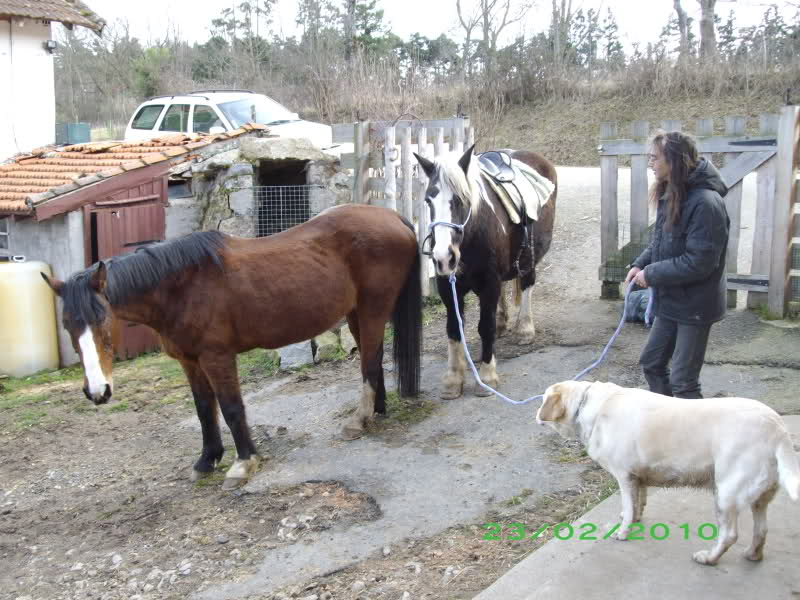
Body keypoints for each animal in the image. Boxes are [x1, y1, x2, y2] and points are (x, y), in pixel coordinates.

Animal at [43, 204, 422, 490]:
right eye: (67, 325)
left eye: (102, 318)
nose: (98, 391)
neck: (180, 287)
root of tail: (394, 217)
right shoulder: (189, 361)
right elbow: (203, 409)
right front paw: (206, 459)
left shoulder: (217, 358)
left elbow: (231, 407)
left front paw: (243, 462)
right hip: (356, 312)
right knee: (373, 358)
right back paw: (376, 411)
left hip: (373, 308)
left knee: (369, 361)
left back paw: (359, 420)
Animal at [416, 145, 560, 398]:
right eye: (428, 200)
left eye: (460, 199)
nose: (443, 257)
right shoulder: (448, 287)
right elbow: (454, 329)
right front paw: (453, 380)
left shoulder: (489, 282)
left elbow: (485, 326)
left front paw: (486, 376)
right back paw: (503, 322)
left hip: (529, 259)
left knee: (527, 284)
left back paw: (525, 329)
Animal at [536, 382, 800, 564]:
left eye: (542, 400)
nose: (535, 415)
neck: (590, 406)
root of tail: (777, 428)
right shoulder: (637, 476)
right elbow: (638, 501)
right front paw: (635, 518)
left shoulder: (624, 476)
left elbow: (627, 505)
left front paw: (622, 531)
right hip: (760, 496)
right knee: (761, 529)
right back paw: (753, 555)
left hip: (727, 493)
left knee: (730, 535)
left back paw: (709, 558)